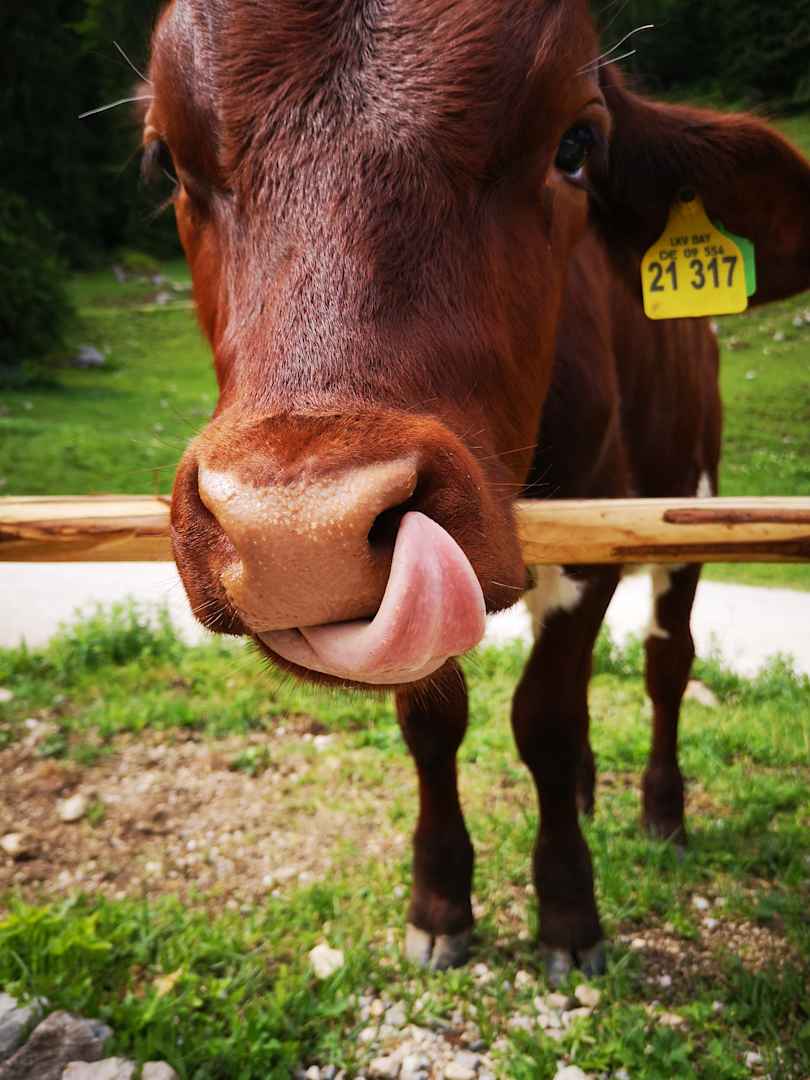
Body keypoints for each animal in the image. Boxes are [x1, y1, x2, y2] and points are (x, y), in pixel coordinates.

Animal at [142, 0, 810, 983]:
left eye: (576, 144)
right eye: (164, 158)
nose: (297, 533)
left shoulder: (594, 548)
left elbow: (544, 719)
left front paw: (568, 913)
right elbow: (437, 722)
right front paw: (440, 901)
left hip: (688, 501)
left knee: (665, 660)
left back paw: (660, 810)